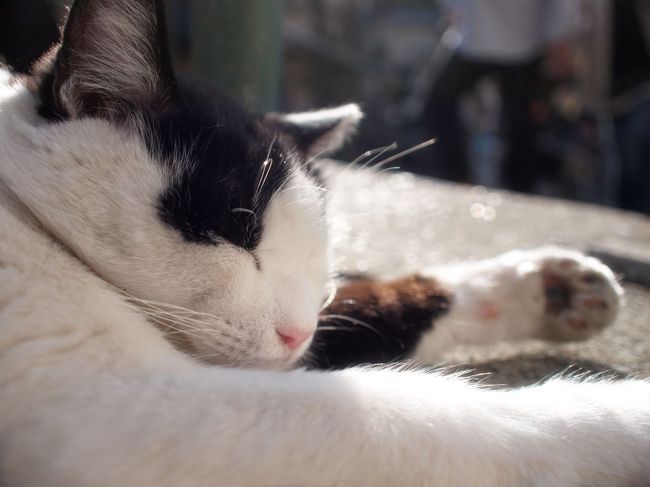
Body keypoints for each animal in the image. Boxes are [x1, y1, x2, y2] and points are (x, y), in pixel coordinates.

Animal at [0, 0, 644, 486]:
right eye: (236, 231)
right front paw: (626, 415)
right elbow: (437, 419)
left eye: (318, 258)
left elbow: (372, 306)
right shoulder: (128, 408)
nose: (297, 331)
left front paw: (546, 286)